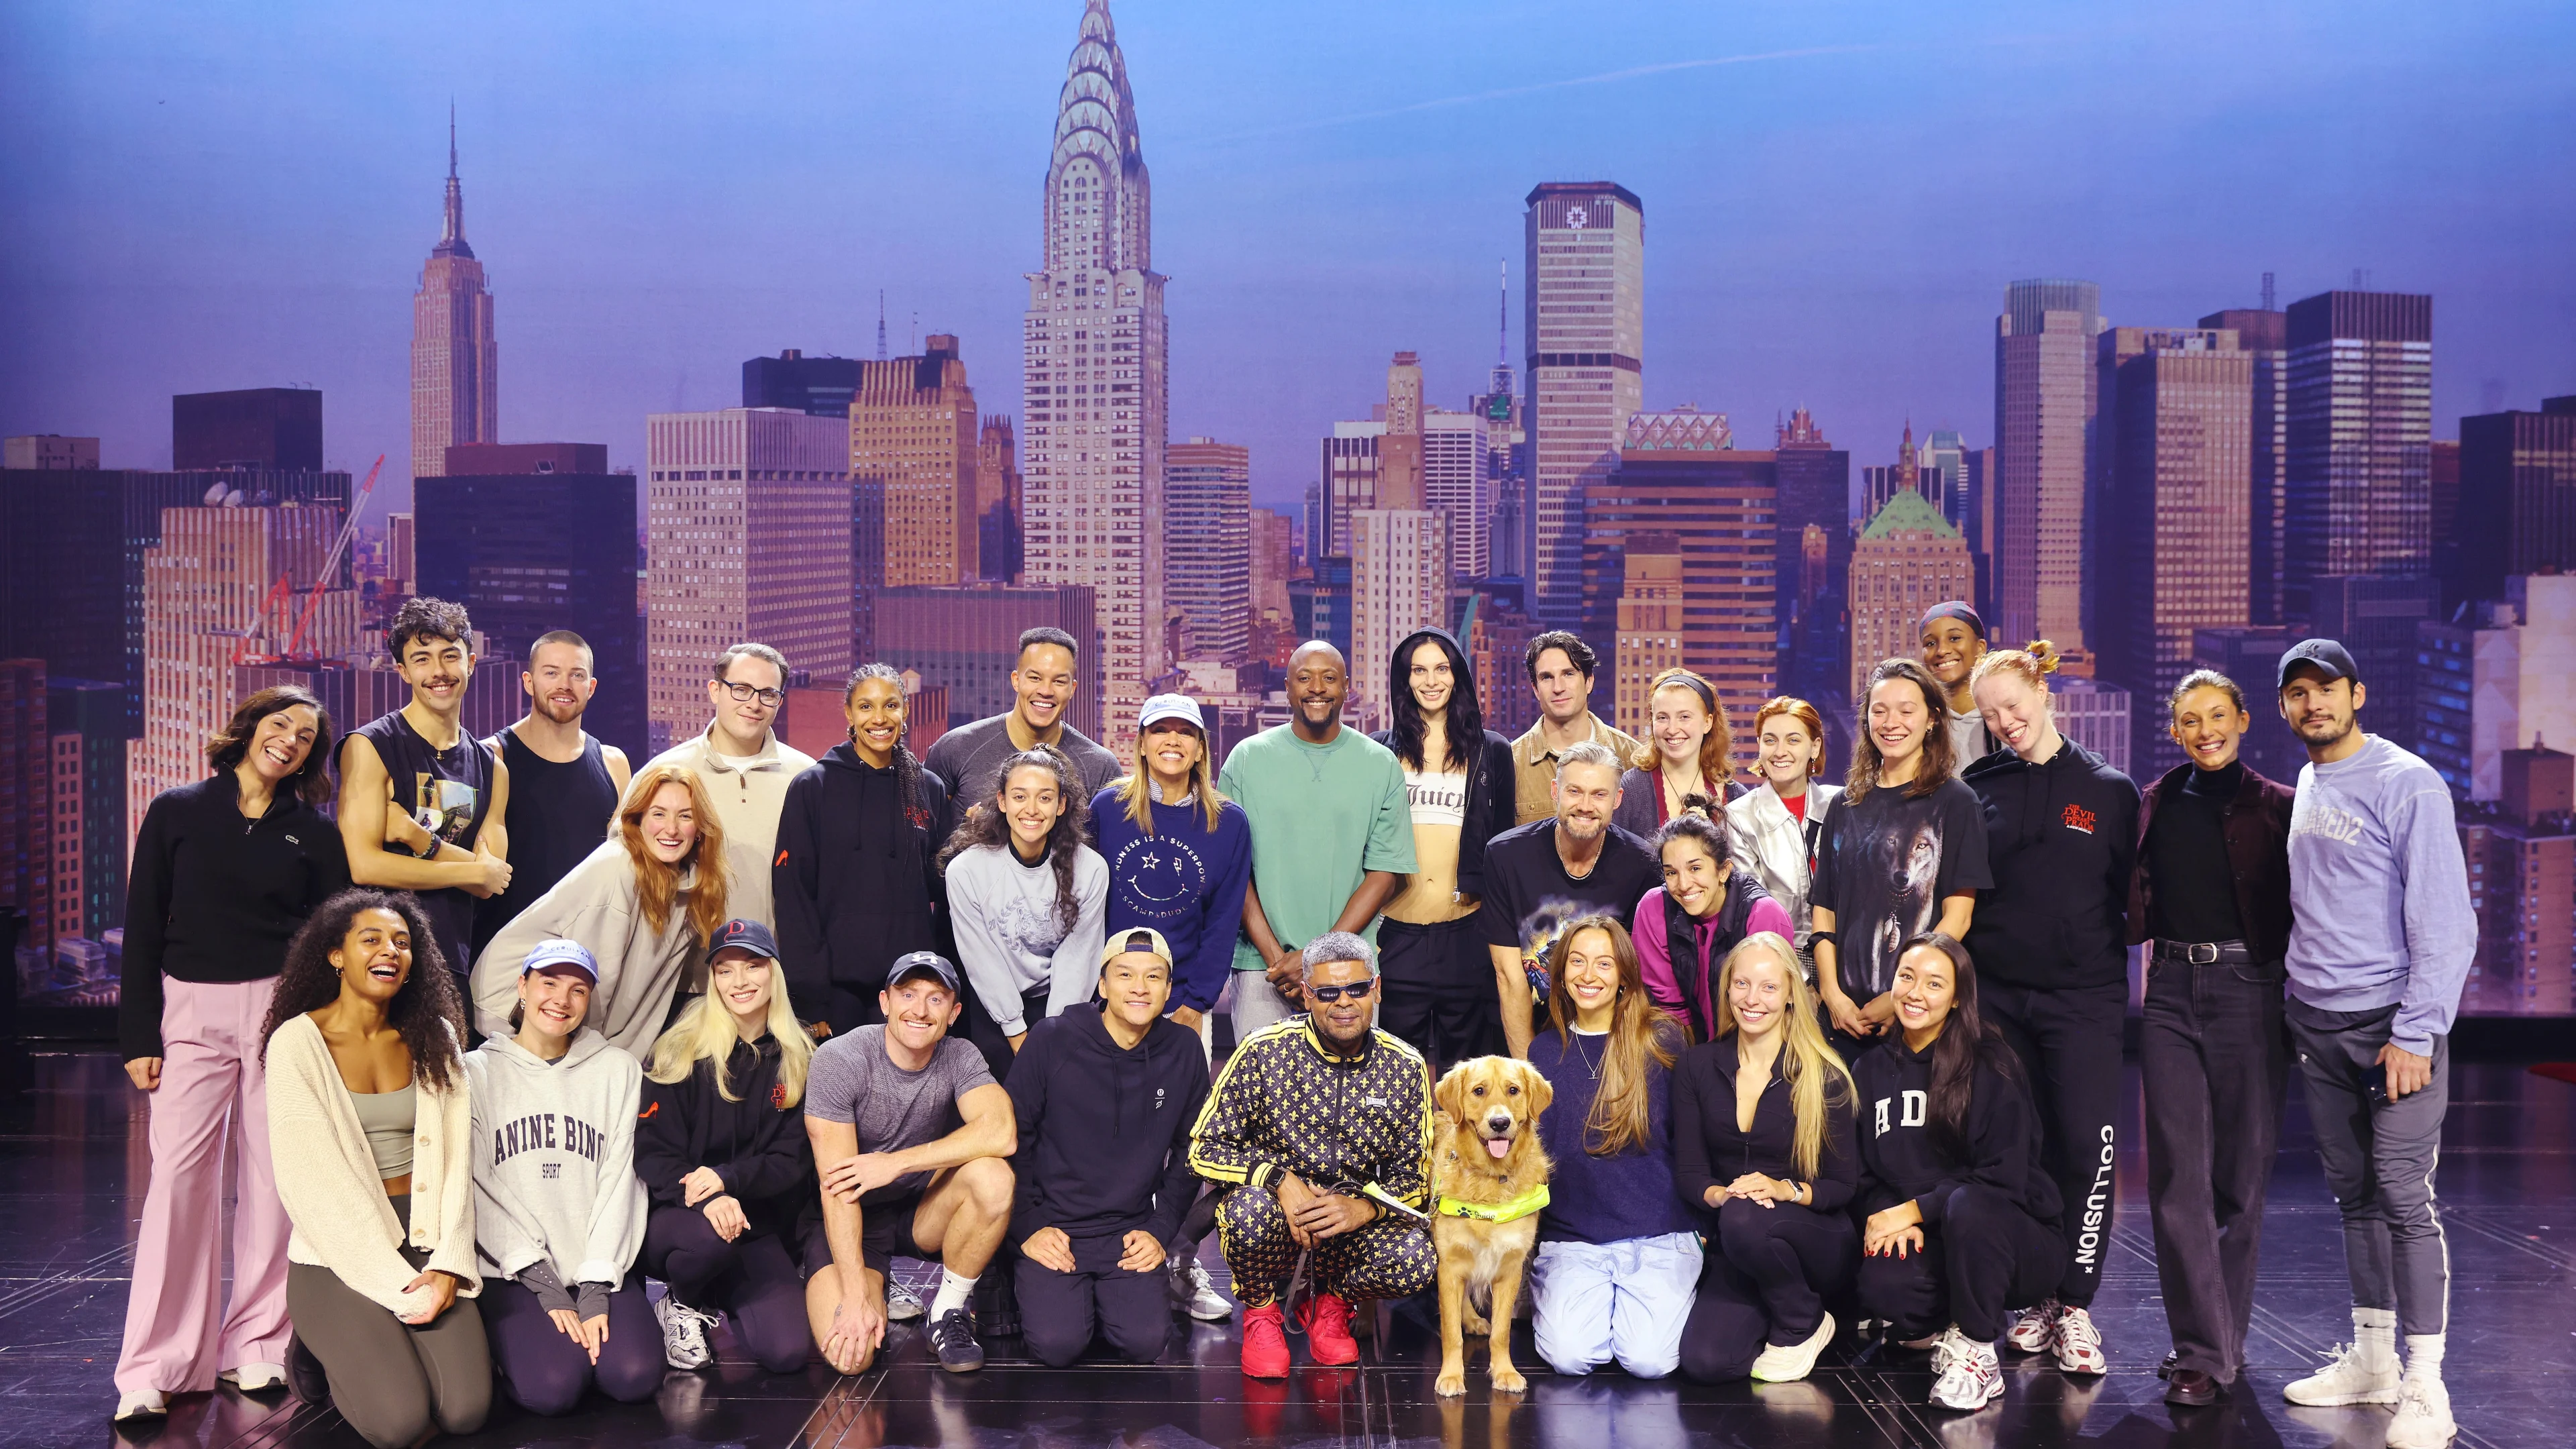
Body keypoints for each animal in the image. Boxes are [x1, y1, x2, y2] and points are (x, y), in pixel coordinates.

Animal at [1432, 1057, 1546, 1392]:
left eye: (1513, 1090)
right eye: (1479, 1091)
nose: (1499, 1123)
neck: (1491, 1179)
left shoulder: (1510, 1268)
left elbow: (1502, 1333)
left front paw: (1505, 1372)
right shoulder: (1448, 1265)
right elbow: (1451, 1335)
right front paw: (1451, 1376)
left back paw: (1471, 1319)